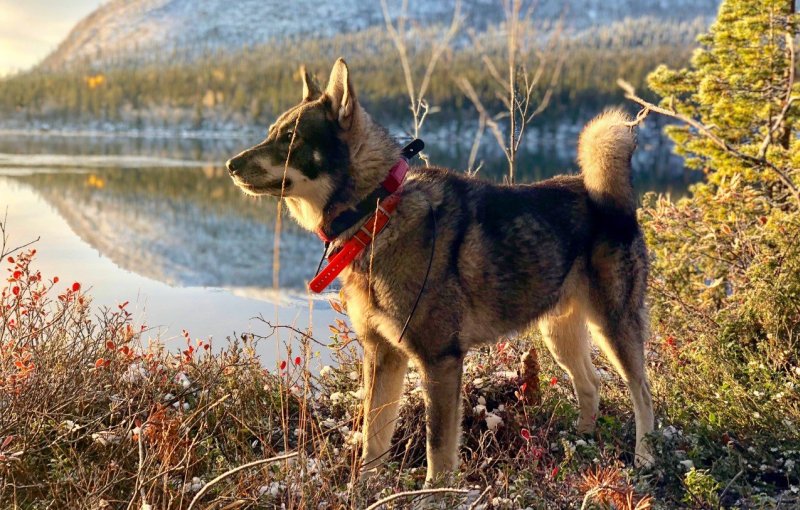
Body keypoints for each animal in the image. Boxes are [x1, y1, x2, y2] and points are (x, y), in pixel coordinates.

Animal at [228, 58, 652, 482]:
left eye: (290, 138)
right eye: (272, 132)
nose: (230, 165)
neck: (376, 212)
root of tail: (614, 200)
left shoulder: (440, 360)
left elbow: (438, 448)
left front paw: (434, 490)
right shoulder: (382, 355)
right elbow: (373, 437)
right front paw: (364, 487)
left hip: (614, 327)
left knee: (642, 392)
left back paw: (646, 458)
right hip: (560, 333)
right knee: (591, 385)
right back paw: (582, 443)